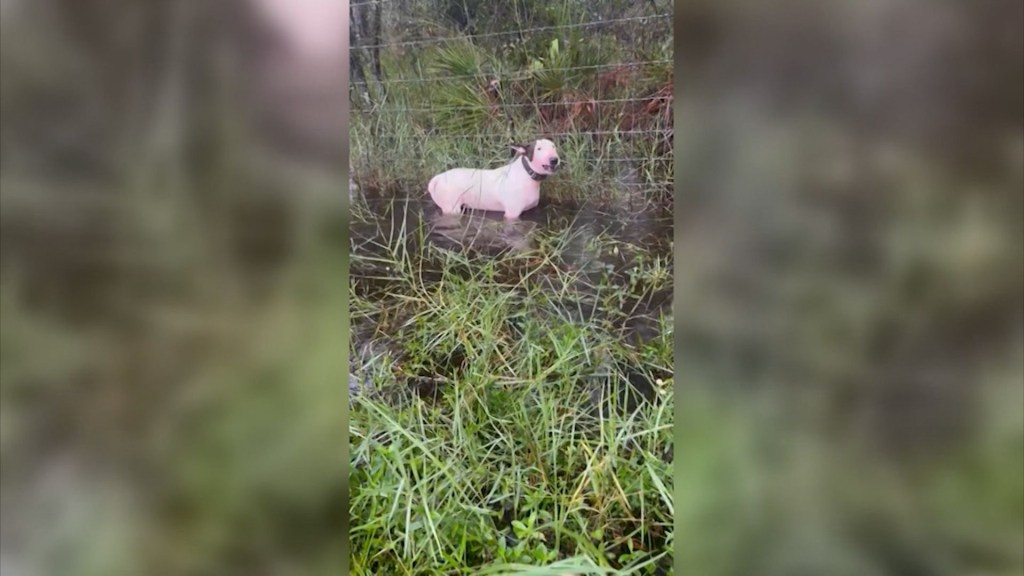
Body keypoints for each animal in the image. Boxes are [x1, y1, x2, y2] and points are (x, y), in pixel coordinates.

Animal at [428, 139, 565, 219]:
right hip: (451, 208)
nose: (554, 160)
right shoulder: (512, 213)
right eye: (538, 149)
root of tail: (438, 178)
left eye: (553, 147)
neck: (527, 175)